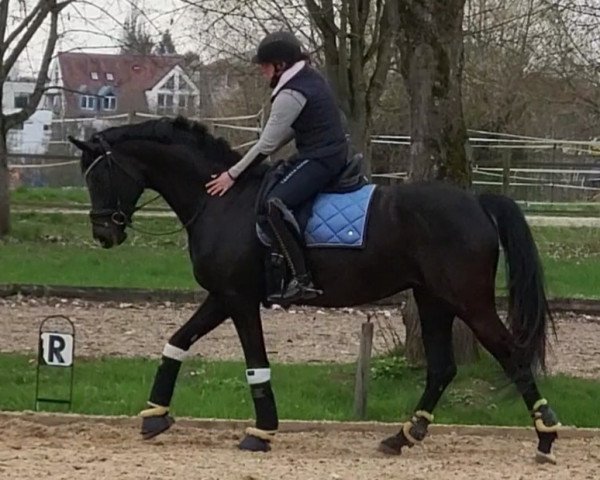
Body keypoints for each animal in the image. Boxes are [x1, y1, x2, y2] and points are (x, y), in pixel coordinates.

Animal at [68, 115, 560, 462]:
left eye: (99, 176)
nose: (104, 234)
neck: (220, 200)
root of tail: (476, 200)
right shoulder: (221, 297)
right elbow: (177, 341)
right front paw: (155, 416)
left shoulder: (239, 300)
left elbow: (255, 363)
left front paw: (261, 432)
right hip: (432, 300)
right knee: (441, 368)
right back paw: (403, 436)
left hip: (468, 301)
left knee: (511, 355)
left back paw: (546, 438)